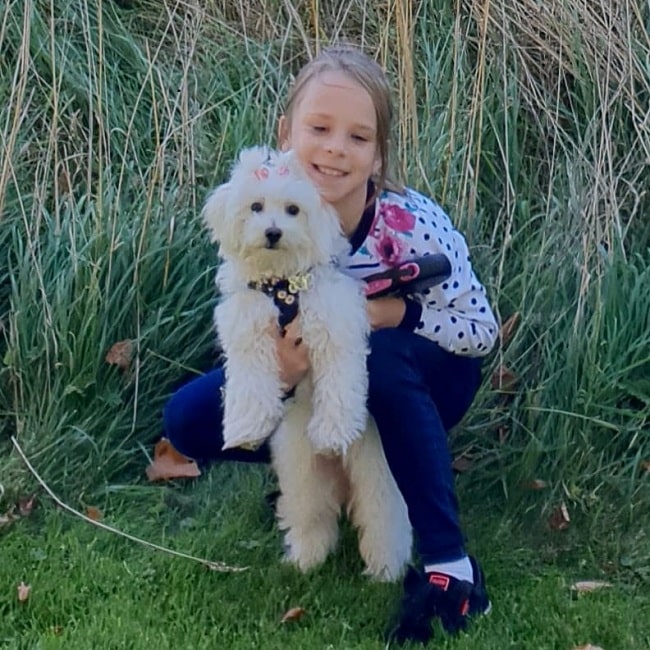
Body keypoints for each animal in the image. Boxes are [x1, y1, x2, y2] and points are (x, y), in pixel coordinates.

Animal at [202, 146, 408, 576]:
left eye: (293, 210)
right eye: (256, 206)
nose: (273, 232)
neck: (282, 285)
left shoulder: (334, 328)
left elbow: (339, 386)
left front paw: (333, 431)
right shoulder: (247, 329)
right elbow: (249, 383)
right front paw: (244, 428)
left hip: (376, 469)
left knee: (385, 517)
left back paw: (386, 569)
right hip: (301, 473)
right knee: (311, 514)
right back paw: (305, 559)